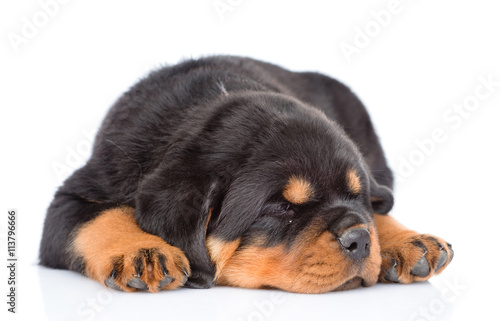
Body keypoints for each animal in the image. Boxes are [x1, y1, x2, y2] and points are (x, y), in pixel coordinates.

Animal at [39, 55, 454, 292]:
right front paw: (142, 251)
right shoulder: (74, 194)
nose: (360, 241)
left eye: (356, 196)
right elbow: (97, 219)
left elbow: (378, 209)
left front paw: (406, 239)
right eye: (282, 208)